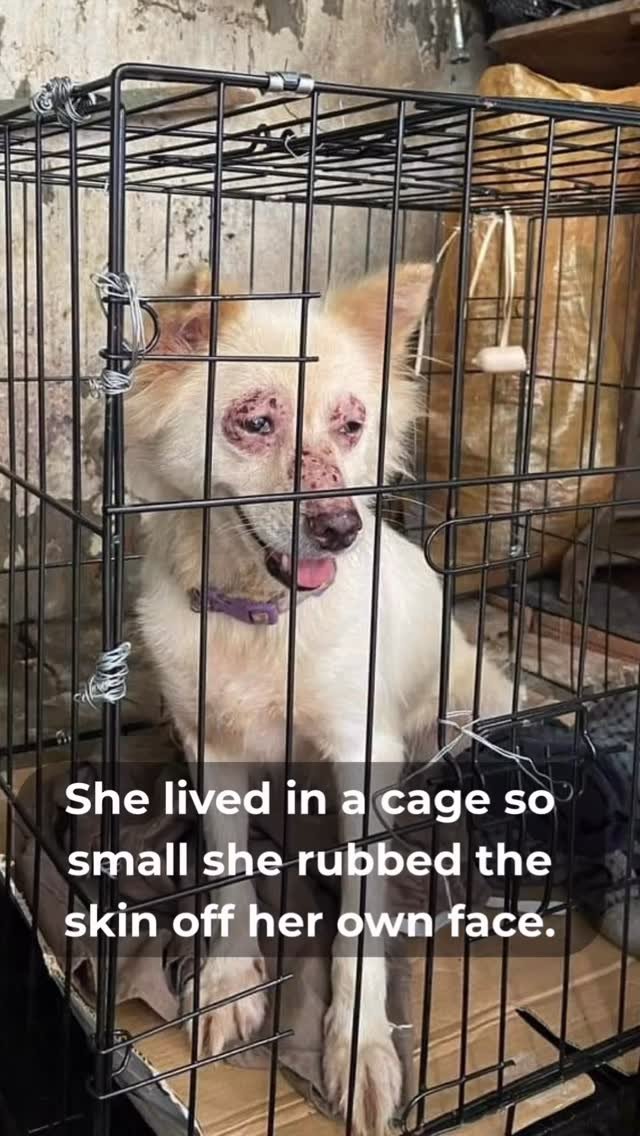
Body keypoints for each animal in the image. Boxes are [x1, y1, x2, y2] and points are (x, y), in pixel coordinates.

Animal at [125, 262, 514, 1136]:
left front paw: (358, 1047)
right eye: (255, 420)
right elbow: (229, 872)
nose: (339, 530)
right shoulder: (210, 744)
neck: (262, 619)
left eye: (351, 424)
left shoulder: (362, 754)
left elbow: (361, 920)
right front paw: (229, 984)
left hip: (473, 703)